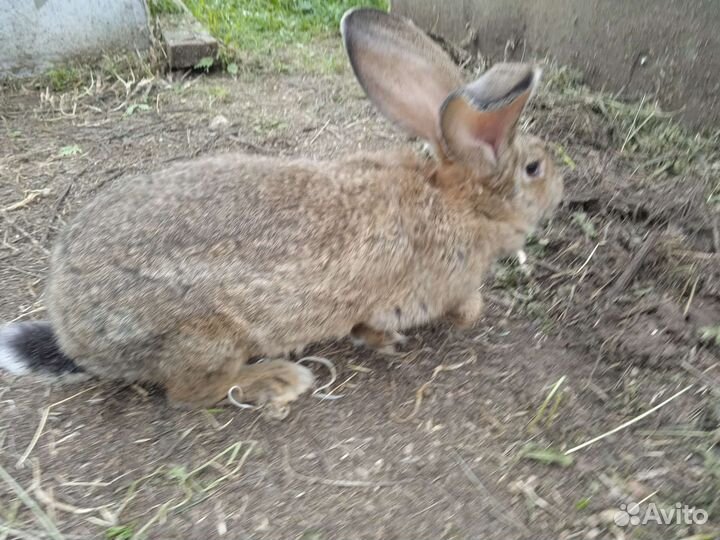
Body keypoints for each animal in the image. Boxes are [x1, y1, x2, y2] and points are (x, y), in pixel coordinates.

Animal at [0, 8, 562, 412]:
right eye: (534, 168)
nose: (561, 189)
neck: (458, 201)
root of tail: (71, 329)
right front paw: (397, 336)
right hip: (201, 336)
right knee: (188, 394)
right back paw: (277, 379)